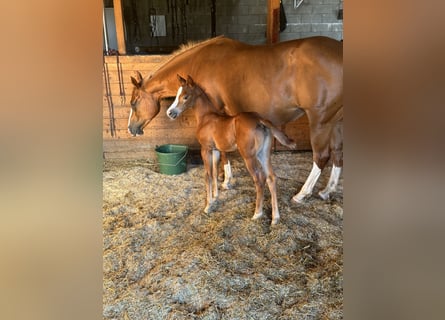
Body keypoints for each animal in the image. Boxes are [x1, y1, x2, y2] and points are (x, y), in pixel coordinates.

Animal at [166, 75, 294, 225]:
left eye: (185, 96)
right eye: (176, 95)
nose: (170, 113)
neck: (206, 117)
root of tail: (260, 119)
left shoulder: (206, 149)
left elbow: (208, 175)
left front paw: (208, 206)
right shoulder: (215, 150)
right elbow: (215, 173)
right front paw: (215, 196)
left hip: (249, 156)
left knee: (259, 179)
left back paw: (257, 213)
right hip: (264, 154)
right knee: (271, 178)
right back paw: (275, 218)